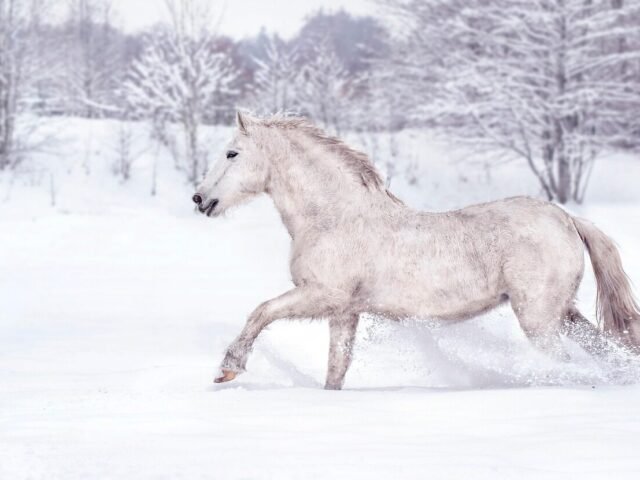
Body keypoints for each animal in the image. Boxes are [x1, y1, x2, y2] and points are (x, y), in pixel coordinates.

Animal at [192, 112, 640, 390]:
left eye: (232, 153)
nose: (200, 199)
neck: (334, 216)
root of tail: (566, 218)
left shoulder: (321, 295)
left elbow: (261, 312)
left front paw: (228, 370)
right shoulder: (344, 312)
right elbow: (336, 369)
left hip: (540, 319)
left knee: (563, 363)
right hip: (563, 314)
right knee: (602, 347)